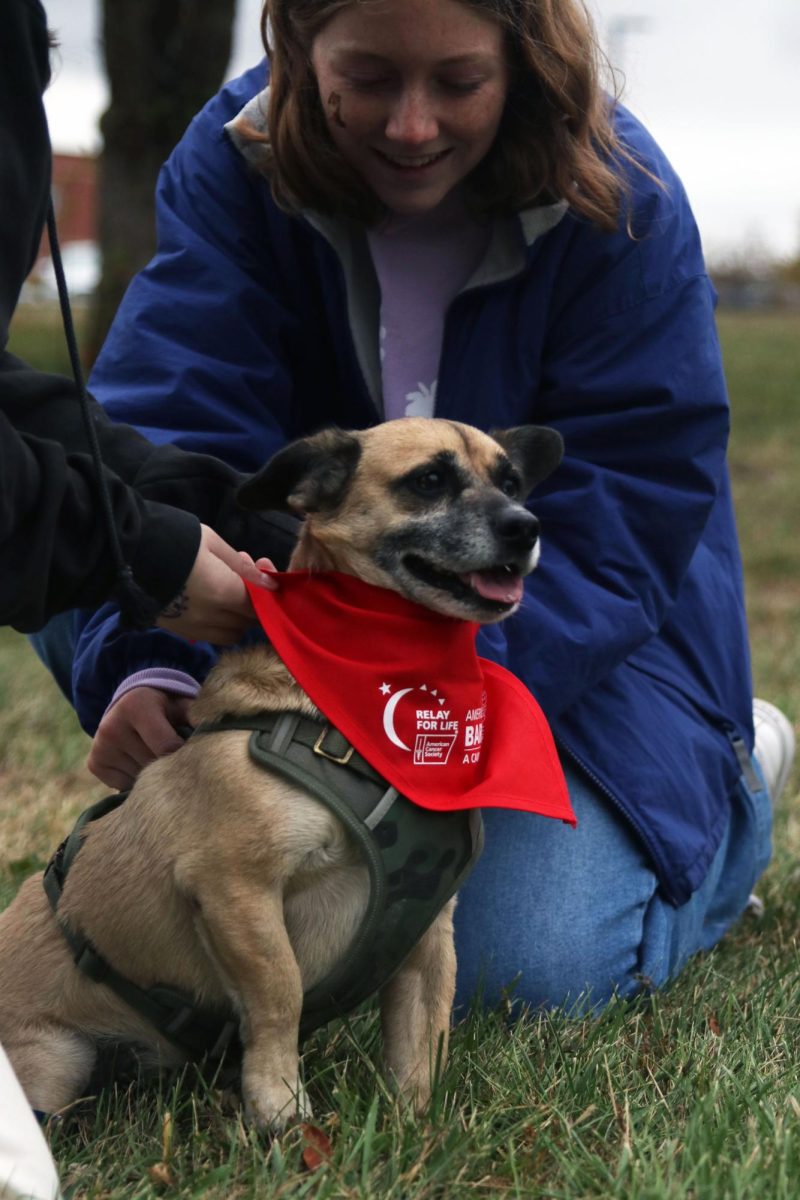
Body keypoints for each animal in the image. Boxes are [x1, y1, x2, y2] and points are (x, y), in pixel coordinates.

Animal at [0, 420, 563, 1123]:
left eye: (511, 481)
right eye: (429, 480)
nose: (527, 526)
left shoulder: (428, 930)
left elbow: (424, 1033)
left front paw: (416, 1124)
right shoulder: (236, 886)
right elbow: (279, 994)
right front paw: (281, 1110)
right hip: (54, 1062)